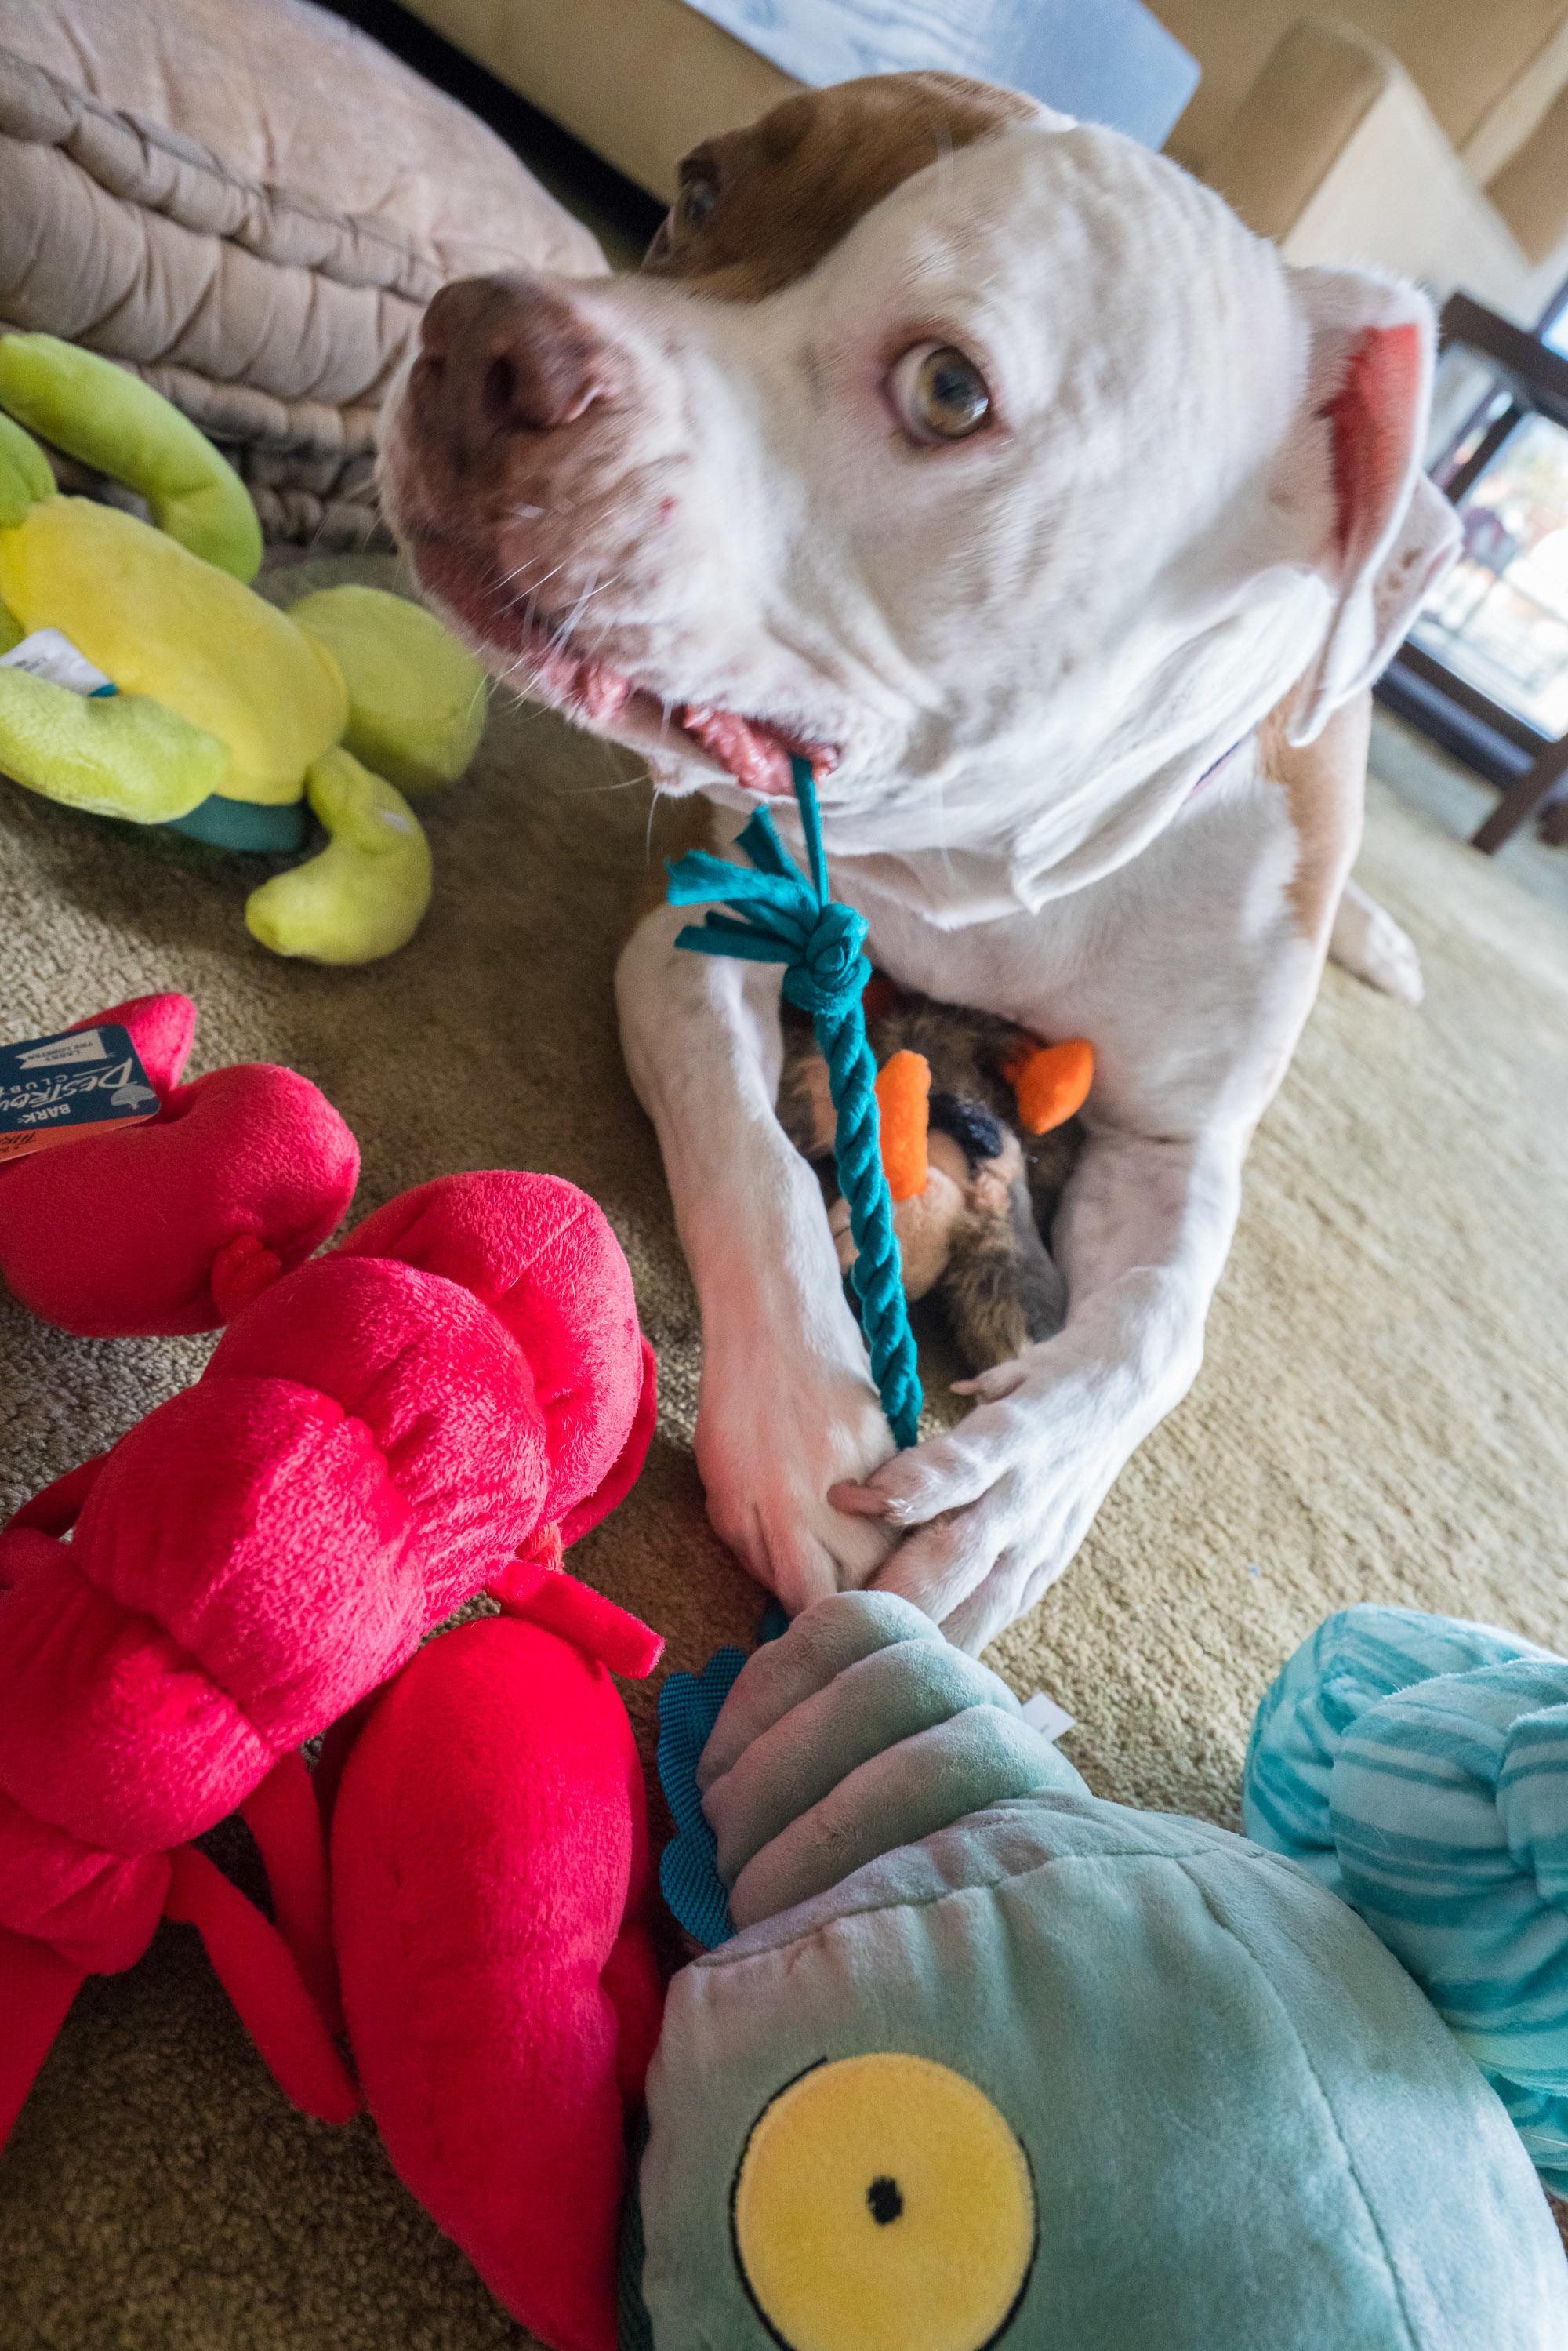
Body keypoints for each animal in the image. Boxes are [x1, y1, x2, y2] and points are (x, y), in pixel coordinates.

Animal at [383, 78, 1457, 1655]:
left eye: (950, 390)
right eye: (697, 193)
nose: (474, 334)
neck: (987, 861)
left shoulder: (1177, 1142)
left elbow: (1159, 1328)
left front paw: (1010, 1493)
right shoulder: (706, 934)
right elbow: (752, 1154)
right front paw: (806, 1428)